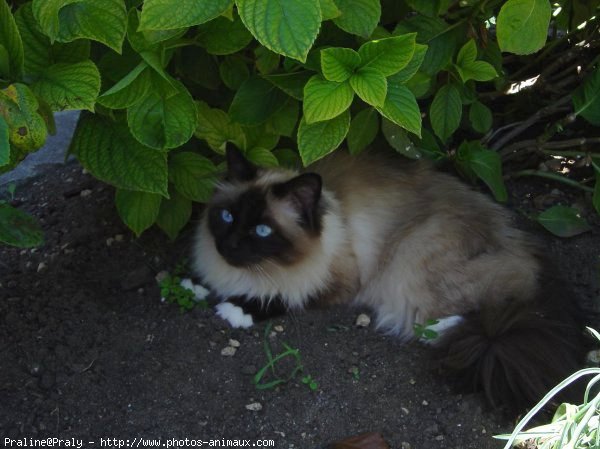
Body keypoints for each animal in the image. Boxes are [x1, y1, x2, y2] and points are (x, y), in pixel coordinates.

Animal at [193, 146, 584, 410]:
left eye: (261, 230)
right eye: (227, 217)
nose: (229, 246)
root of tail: (524, 247)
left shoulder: (336, 282)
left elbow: (281, 296)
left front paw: (233, 310)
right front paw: (196, 286)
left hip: (414, 258)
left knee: (474, 315)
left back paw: (439, 333)